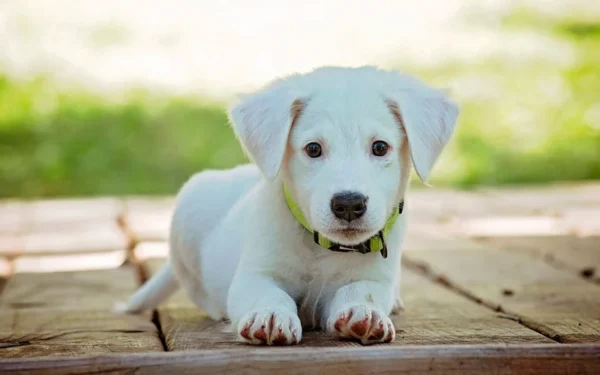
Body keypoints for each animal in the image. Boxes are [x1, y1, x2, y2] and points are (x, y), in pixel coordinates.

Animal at [122, 67, 460, 346]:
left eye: (380, 147)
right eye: (313, 149)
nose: (349, 204)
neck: (321, 247)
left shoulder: (374, 277)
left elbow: (362, 291)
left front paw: (363, 312)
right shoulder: (254, 274)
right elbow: (267, 293)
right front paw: (270, 315)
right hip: (189, 209)